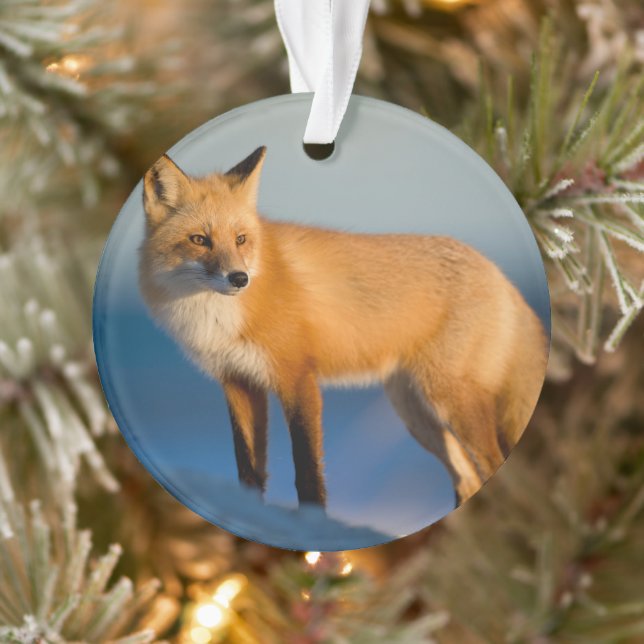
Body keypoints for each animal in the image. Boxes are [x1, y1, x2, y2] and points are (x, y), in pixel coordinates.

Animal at [139, 146, 548, 507]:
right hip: (417, 415)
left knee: (491, 464)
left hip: (450, 400)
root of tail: (499, 273)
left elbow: (307, 471)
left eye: (240, 239)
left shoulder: (297, 378)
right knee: (468, 478)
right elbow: (249, 470)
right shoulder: (238, 382)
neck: (218, 319)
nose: (240, 278)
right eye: (199, 240)